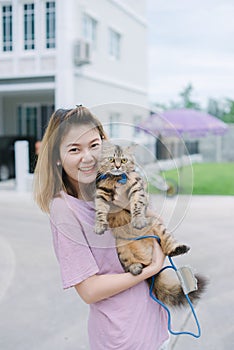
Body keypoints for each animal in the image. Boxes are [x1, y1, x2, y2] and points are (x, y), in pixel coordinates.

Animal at [95, 141, 207, 308]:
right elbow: (100, 210)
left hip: (157, 227)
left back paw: (178, 249)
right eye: (111, 159)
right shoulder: (101, 192)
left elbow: (137, 204)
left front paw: (138, 220)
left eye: (124, 160)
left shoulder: (137, 188)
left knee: (167, 245)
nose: (117, 166)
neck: (118, 179)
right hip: (120, 245)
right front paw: (99, 225)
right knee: (130, 263)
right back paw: (136, 267)